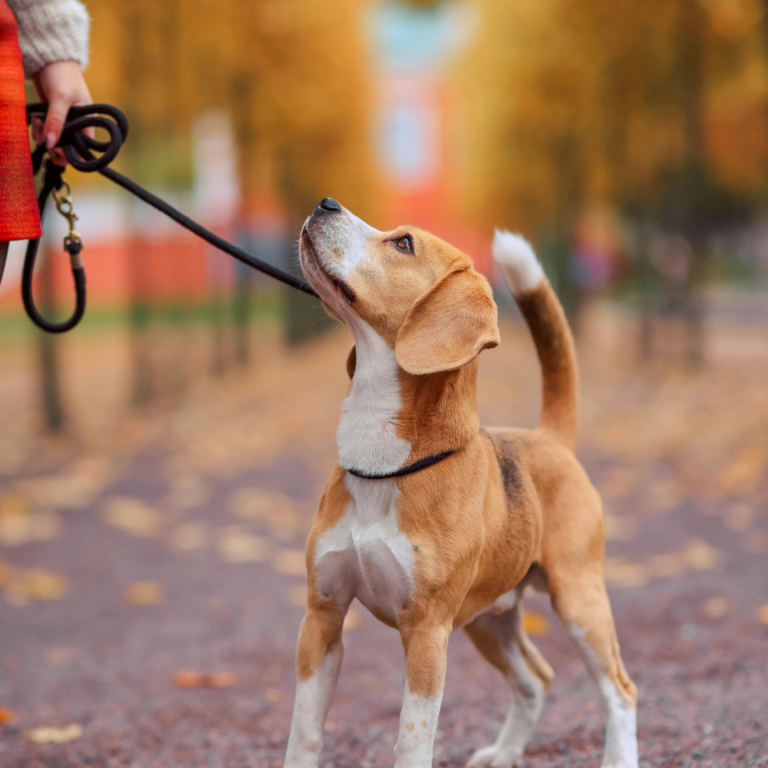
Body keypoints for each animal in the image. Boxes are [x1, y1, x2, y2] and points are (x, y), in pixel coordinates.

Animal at [284, 198, 640, 768]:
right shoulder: (322, 618)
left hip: (579, 602)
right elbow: (305, 731)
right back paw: (506, 751)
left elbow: (412, 738)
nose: (325, 203)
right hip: (488, 620)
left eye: (403, 243)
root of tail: (549, 438)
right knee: (537, 679)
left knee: (621, 691)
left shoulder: (427, 633)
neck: (385, 466)